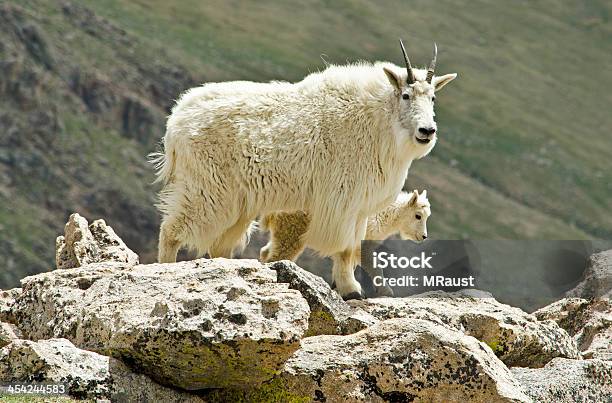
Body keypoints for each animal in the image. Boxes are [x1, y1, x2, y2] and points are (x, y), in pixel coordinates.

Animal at [260, 189, 432, 296]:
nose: (424, 236)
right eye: (418, 215)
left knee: (266, 250)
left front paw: (339, 287)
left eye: (427, 216)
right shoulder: (362, 244)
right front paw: (385, 291)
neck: (384, 214)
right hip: (292, 229)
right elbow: (373, 265)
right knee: (278, 255)